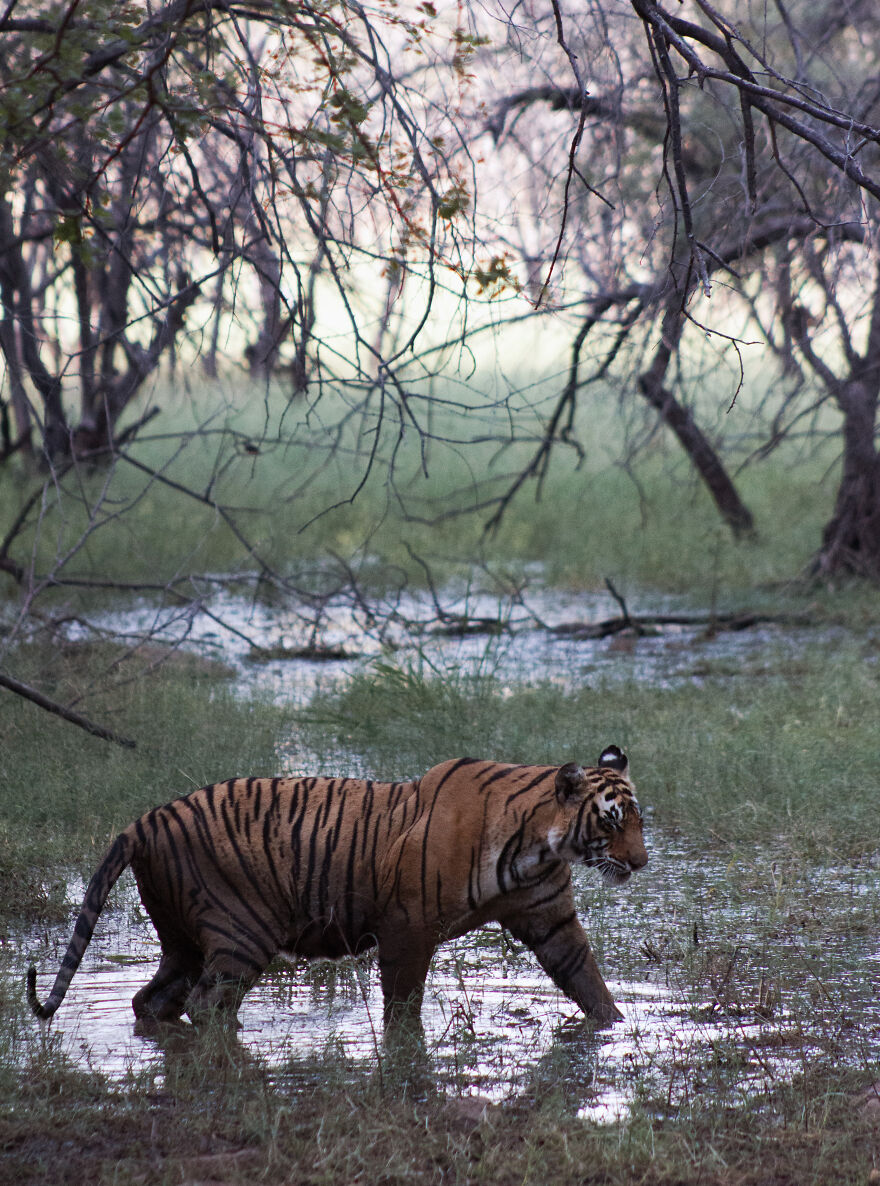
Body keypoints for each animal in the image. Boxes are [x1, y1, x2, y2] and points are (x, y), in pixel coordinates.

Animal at [27, 745, 647, 1032]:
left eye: (640, 821)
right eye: (613, 822)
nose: (641, 863)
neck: (539, 846)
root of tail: (146, 820)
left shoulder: (551, 919)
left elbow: (588, 980)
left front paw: (614, 1027)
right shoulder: (407, 927)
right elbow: (403, 1005)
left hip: (182, 939)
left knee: (153, 1000)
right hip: (240, 930)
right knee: (207, 1004)